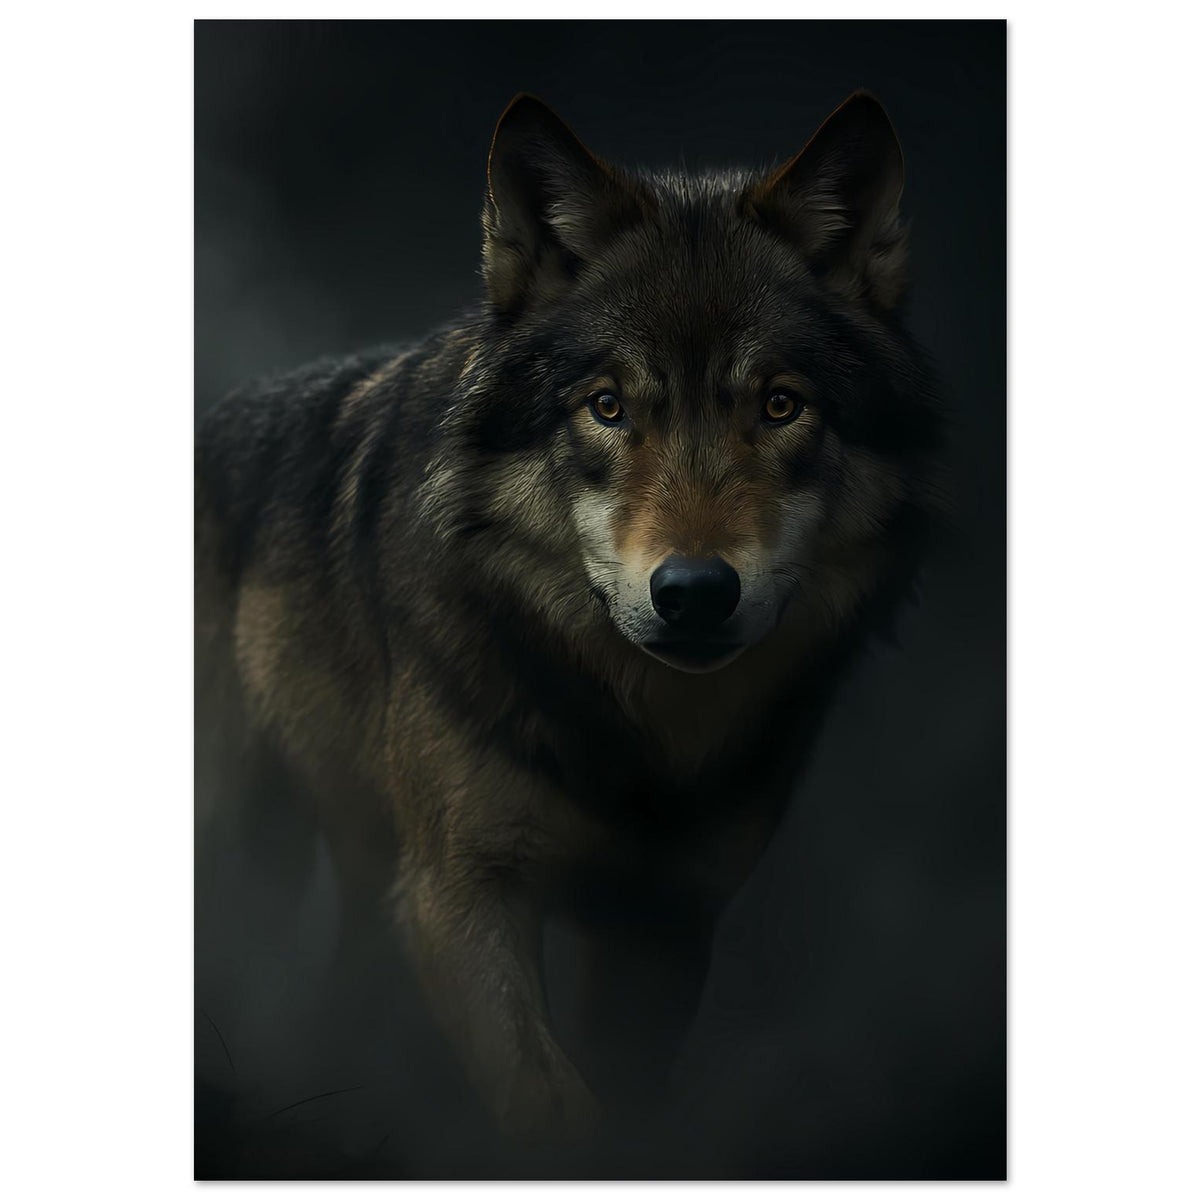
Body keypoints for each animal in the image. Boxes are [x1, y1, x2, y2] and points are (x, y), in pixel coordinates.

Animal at [195, 90, 943, 1142]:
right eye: (607, 407)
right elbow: (551, 1106)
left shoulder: (664, 926)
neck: (636, 738)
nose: (695, 591)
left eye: (780, 406)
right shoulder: (459, 896)